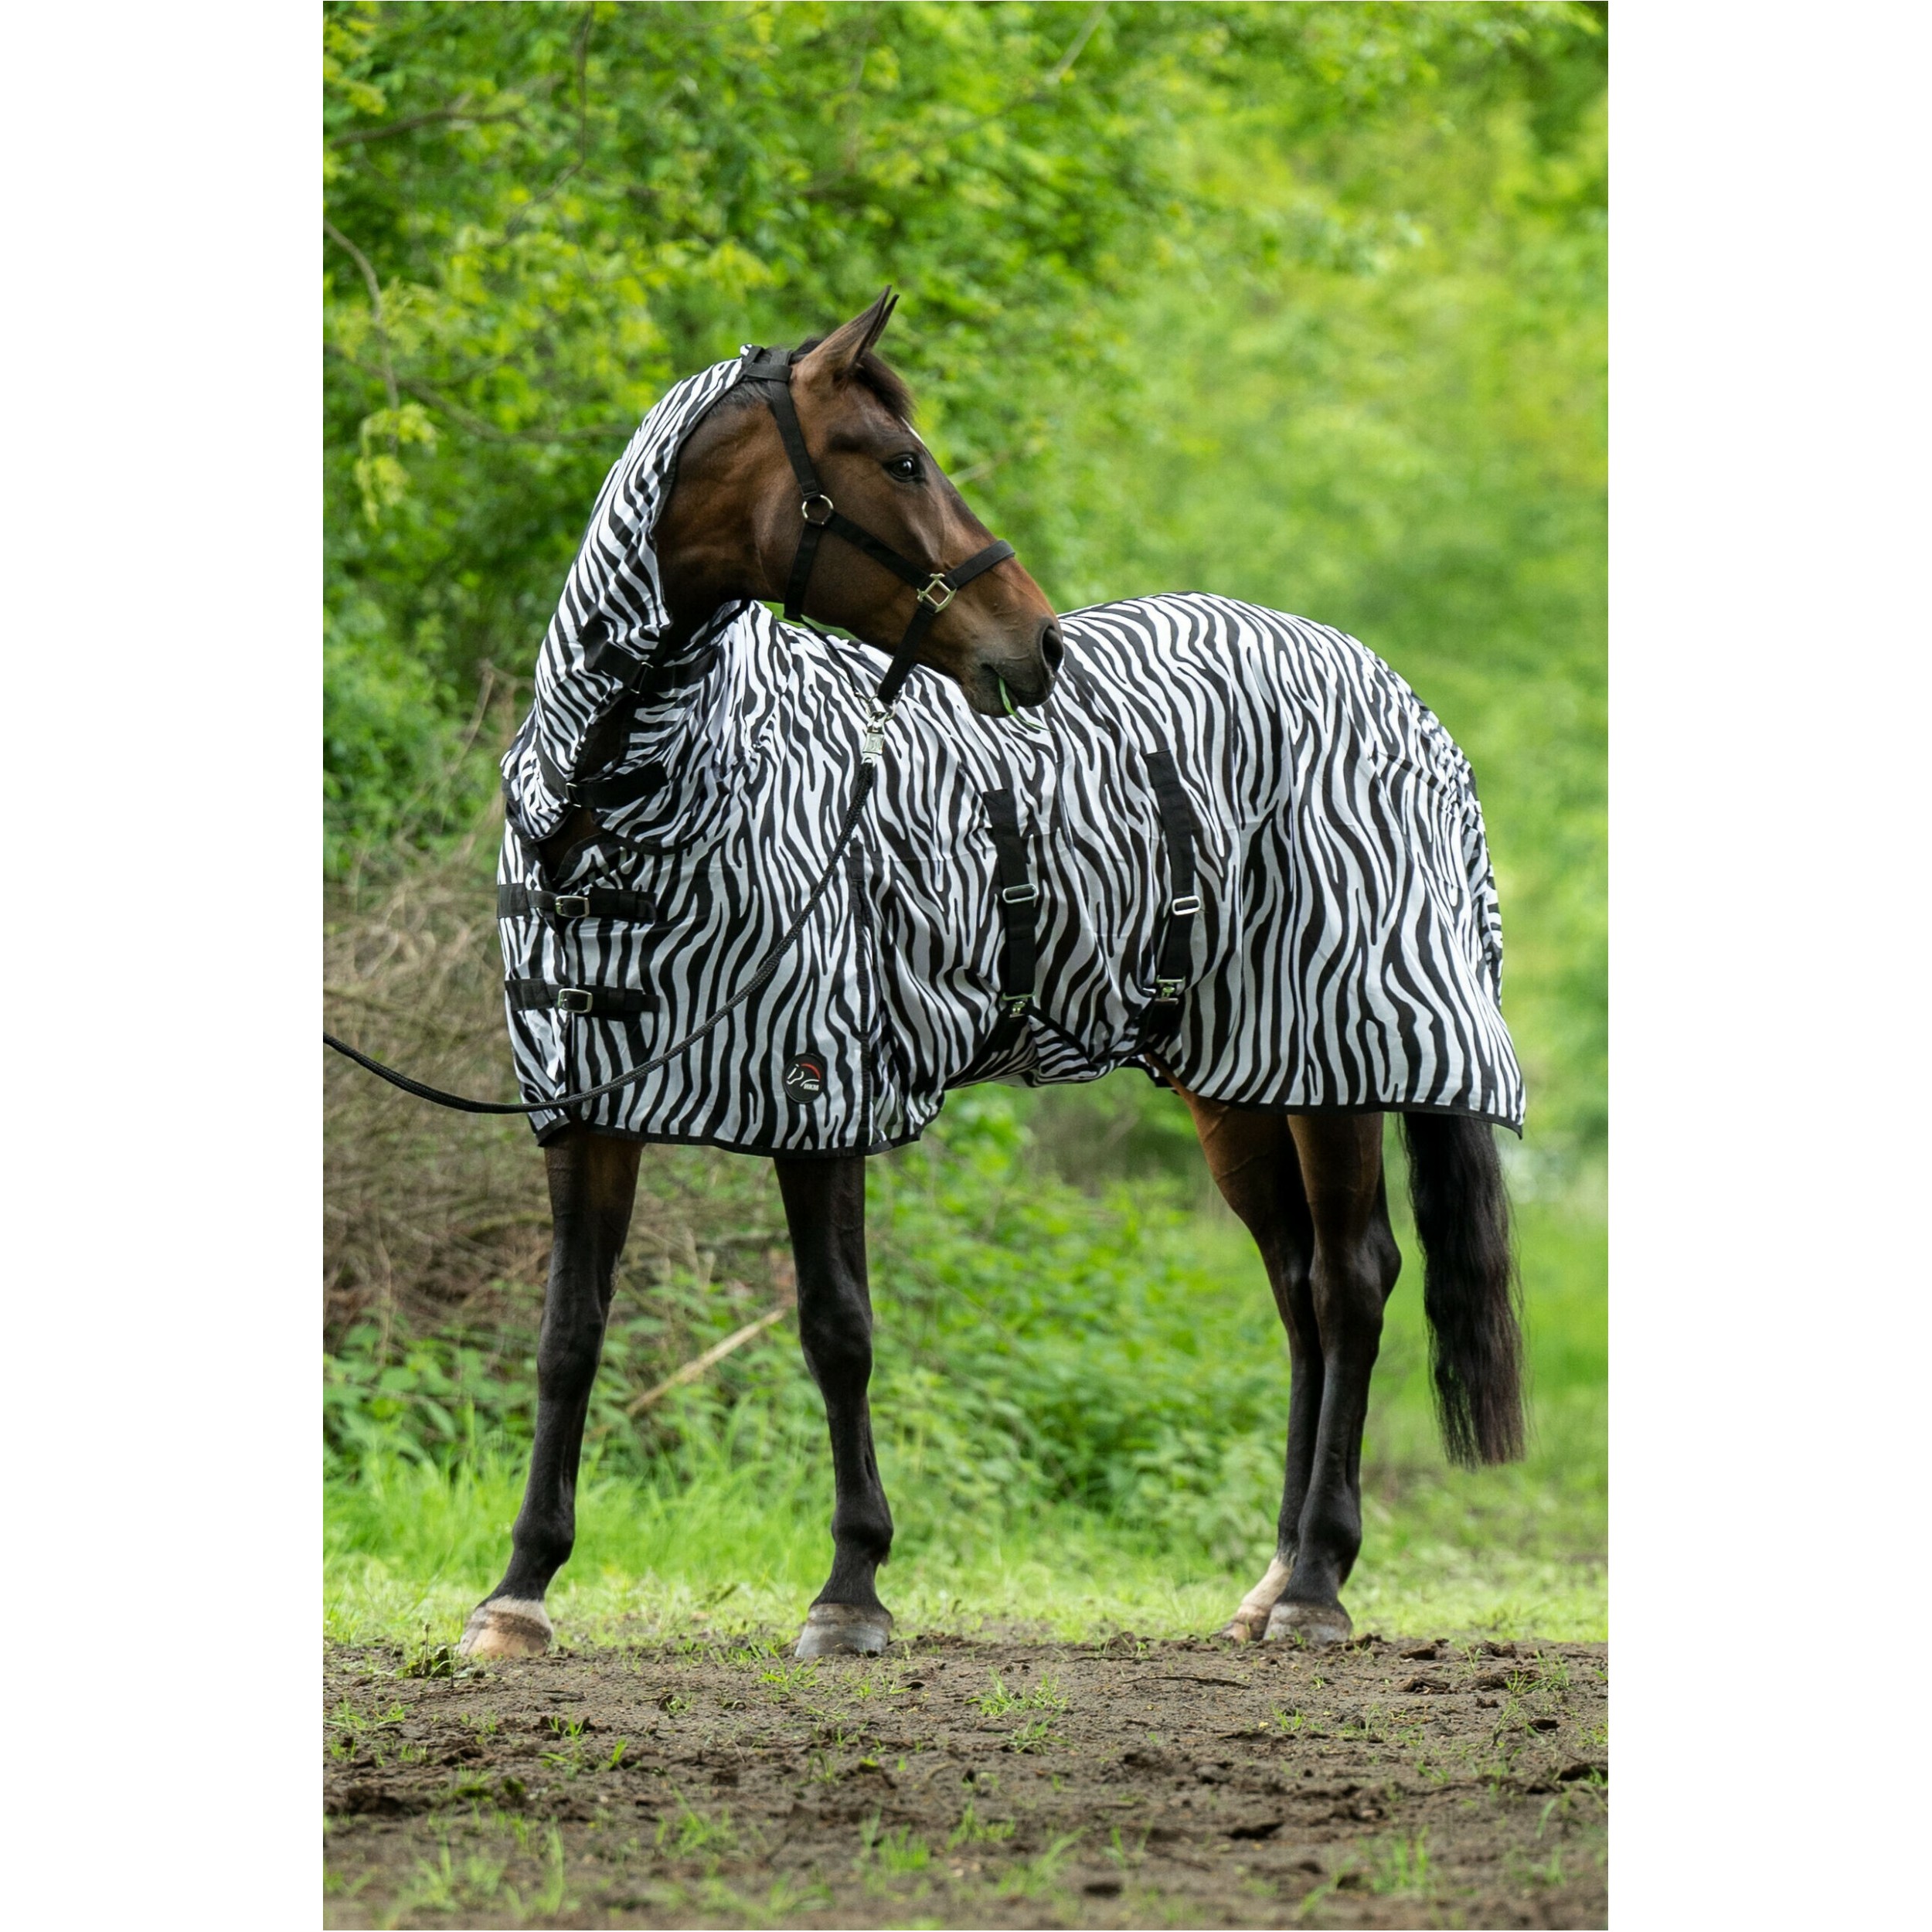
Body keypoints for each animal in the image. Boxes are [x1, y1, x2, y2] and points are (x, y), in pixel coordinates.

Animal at [456, 286, 1522, 1662]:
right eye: (901, 461)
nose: (1040, 643)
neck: (612, 813)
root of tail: (1393, 694)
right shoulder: (586, 1106)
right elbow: (567, 1339)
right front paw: (519, 1591)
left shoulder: (820, 1090)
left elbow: (837, 1330)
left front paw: (851, 1589)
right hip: (1234, 1081)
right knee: (1297, 1288)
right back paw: (1276, 1576)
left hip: (1334, 1057)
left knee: (1353, 1282)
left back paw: (1319, 1588)